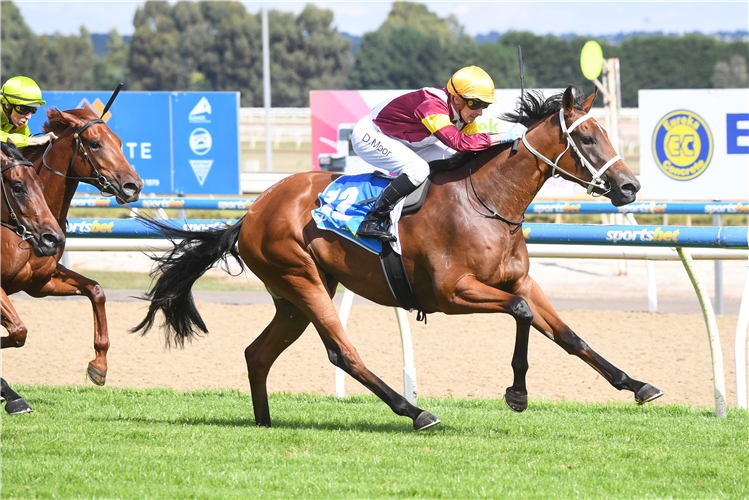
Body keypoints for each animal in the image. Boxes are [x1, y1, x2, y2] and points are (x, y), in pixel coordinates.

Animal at [1, 107, 143, 384]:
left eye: (119, 142)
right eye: (95, 143)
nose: (134, 186)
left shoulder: (40, 282)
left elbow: (96, 290)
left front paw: (99, 364)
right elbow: (18, 330)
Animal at [133, 87, 660, 430]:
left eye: (605, 134)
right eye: (587, 139)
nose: (630, 187)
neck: (488, 202)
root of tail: (249, 214)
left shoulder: (520, 281)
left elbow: (568, 335)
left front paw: (636, 384)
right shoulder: (453, 293)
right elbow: (523, 313)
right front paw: (517, 394)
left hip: (295, 295)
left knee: (258, 352)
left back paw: (264, 423)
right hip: (301, 278)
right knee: (342, 352)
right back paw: (415, 412)